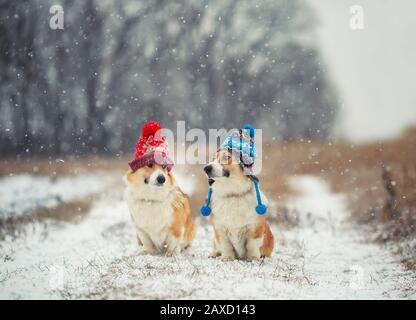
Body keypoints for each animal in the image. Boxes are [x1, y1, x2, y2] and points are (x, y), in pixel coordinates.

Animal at [124, 121, 196, 256]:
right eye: (149, 164)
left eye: (163, 166)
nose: (162, 179)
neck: (151, 198)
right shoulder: (141, 229)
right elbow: (147, 242)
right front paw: (147, 252)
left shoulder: (175, 227)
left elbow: (173, 241)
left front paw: (172, 253)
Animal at [201, 124, 274, 262]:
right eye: (213, 159)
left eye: (226, 157)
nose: (206, 168)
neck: (232, 194)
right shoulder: (220, 229)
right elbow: (226, 245)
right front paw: (227, 258)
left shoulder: (254, 229)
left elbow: (251, 245)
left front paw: (253, 258)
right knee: (216, 246)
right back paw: (214, 254)